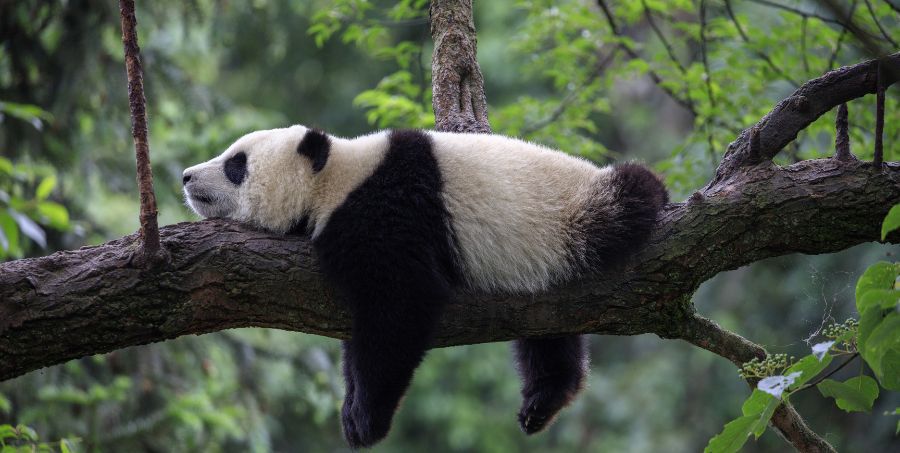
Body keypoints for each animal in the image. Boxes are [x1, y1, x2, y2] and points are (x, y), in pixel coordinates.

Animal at [182, 125, 668, 448]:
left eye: (236, 164)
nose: (186, 176)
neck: (336, 177)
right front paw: (352, 406)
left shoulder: (388, 212)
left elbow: (399, 307)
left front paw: (365, 419)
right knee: (548, 332)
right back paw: (543, 400)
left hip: (574, 217)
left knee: (629, 197)